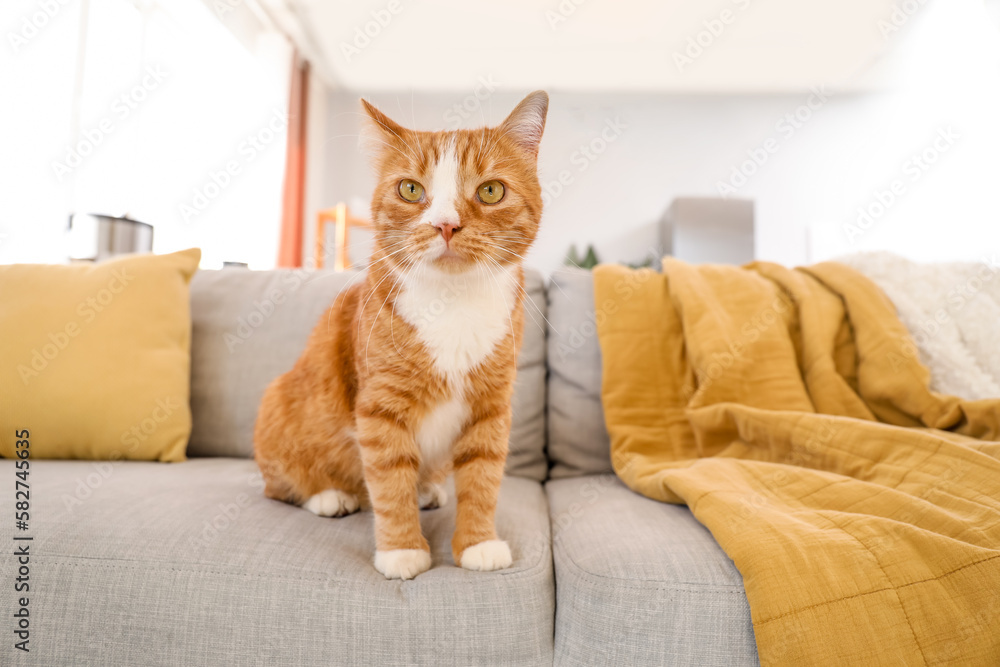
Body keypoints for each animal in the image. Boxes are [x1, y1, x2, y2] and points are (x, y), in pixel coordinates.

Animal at [250, 91, 548, 580]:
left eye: (490, 191)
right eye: (411, 189)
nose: (446, 225)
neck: (451, 303)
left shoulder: (490, 408)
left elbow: (482, 479)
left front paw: (478, 543)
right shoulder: (381, 408)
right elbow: (390, 484)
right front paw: (403, 551)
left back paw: (427, 490)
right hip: (279, 401)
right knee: (281, 486)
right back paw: (329, 495)